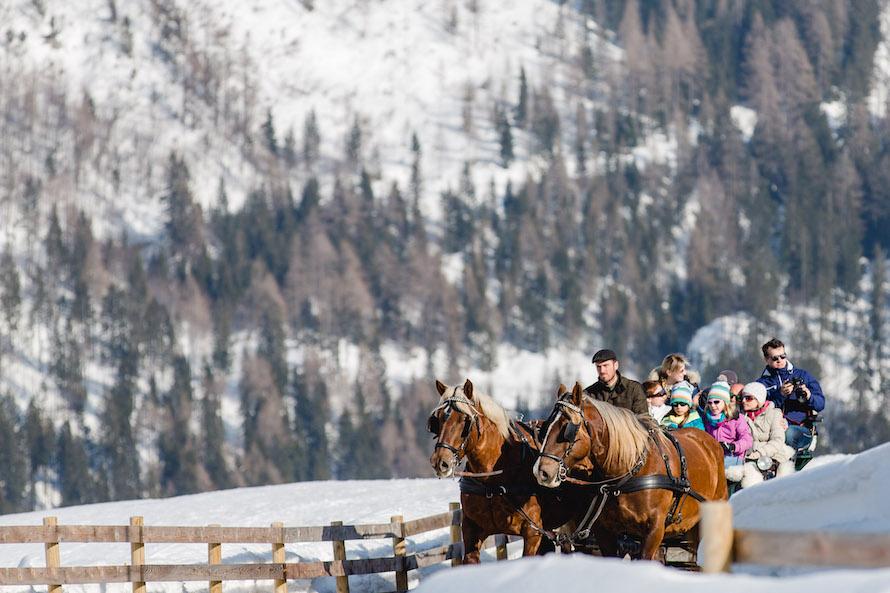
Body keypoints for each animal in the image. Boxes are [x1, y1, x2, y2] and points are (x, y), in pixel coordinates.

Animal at [426, 376, 588, 560]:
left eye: (465, 420)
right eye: (438, 419)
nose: (440, 461)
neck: (492, 482)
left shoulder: (532, 533)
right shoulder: (471, 531)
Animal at [532, 384, 724, 560]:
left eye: (567, 428)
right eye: (546, 427)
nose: (541, 472)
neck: (628, 473)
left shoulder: (654, 530)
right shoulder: (605, 532)